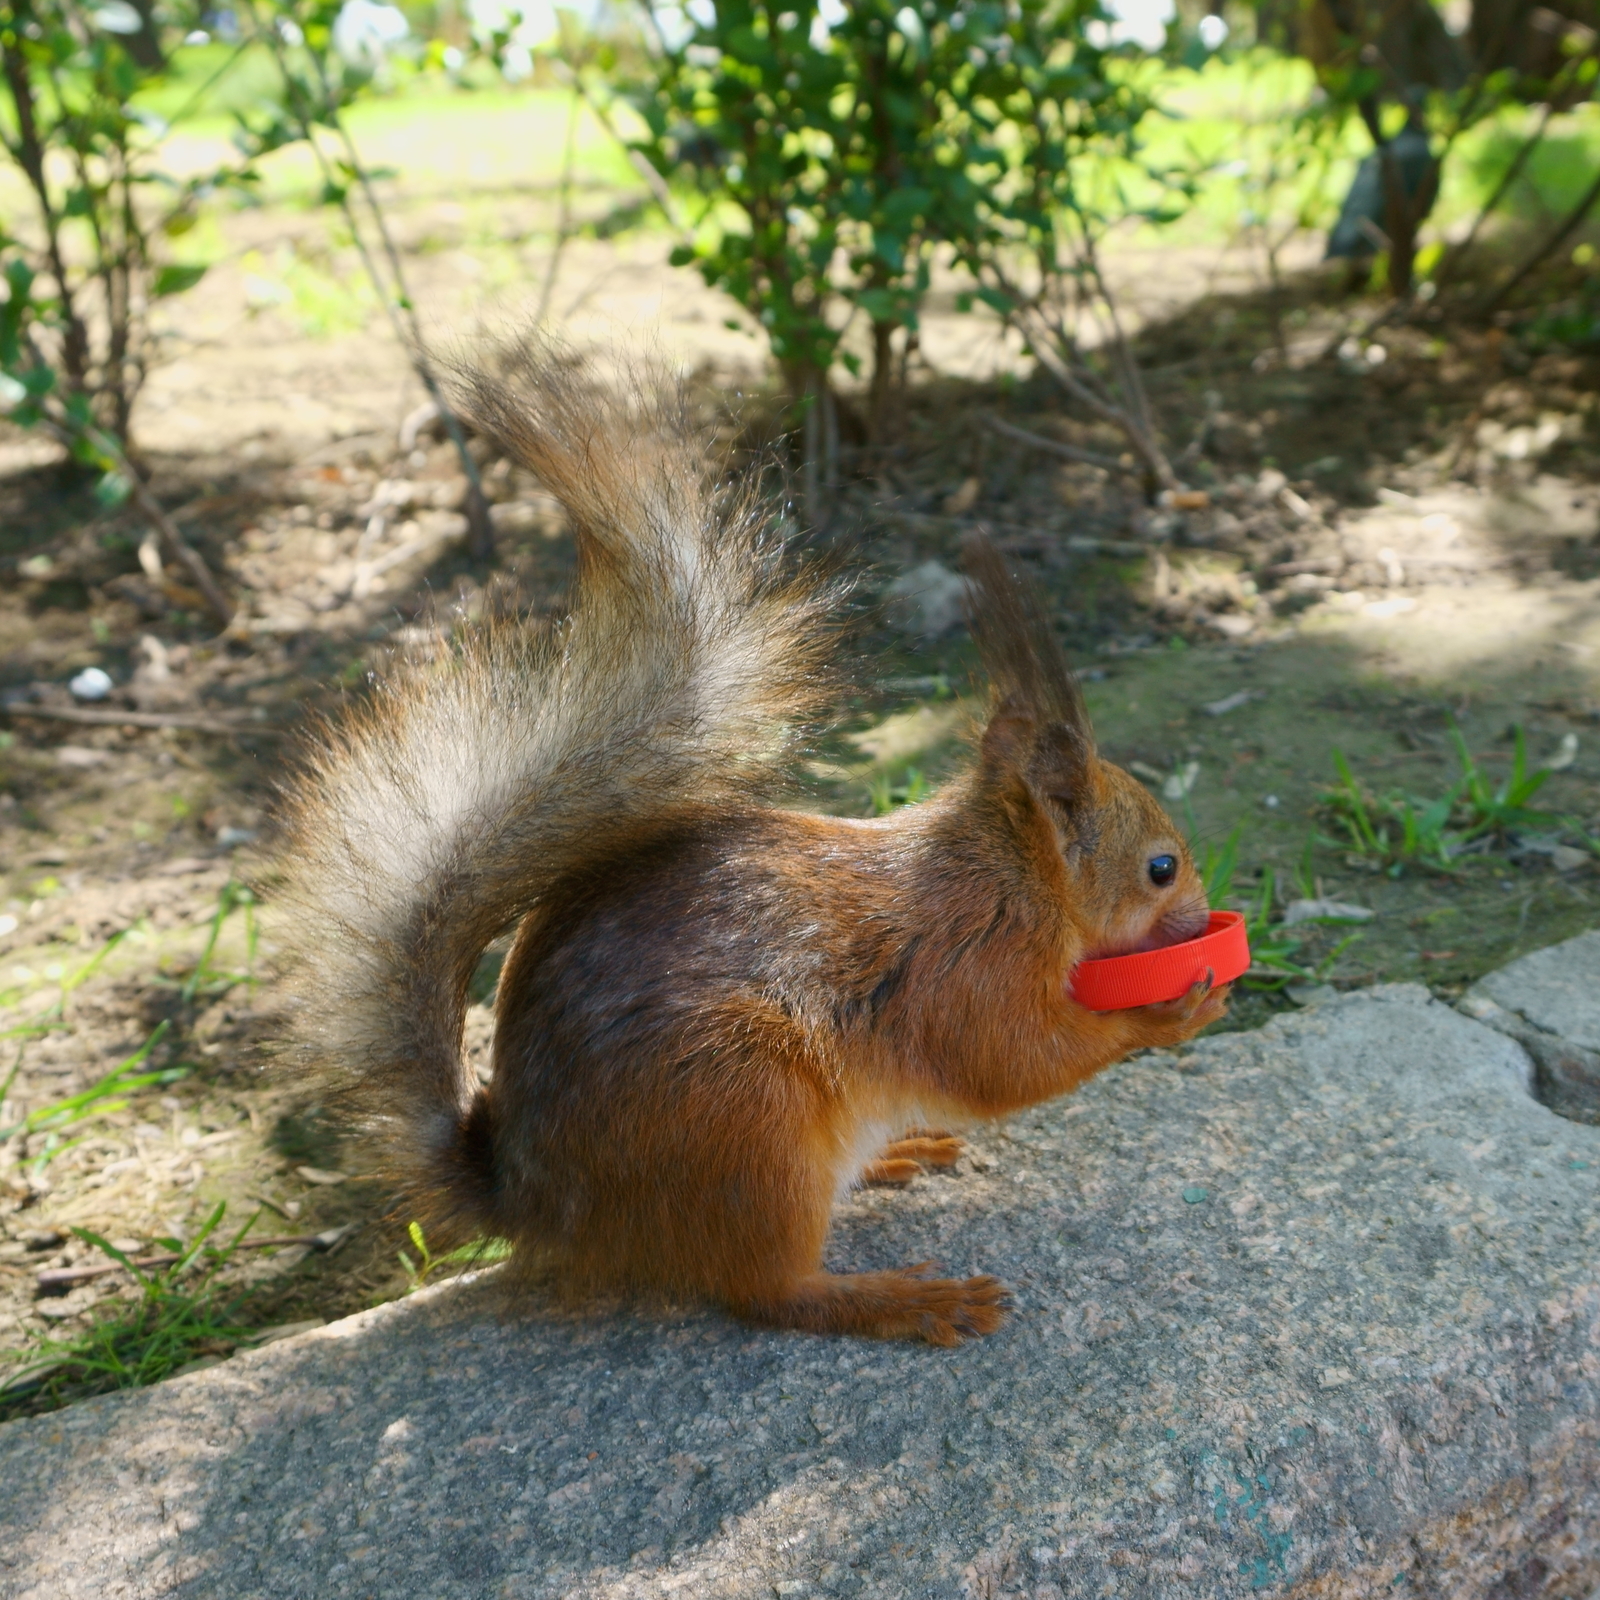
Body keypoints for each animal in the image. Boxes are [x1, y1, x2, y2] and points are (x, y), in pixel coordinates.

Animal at [281, 356, 1228, 1344]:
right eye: (1161, 869)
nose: (1208, 917)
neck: (1009, 878)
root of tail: (543, 1207)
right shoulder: (967, 968)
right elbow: (1010, 1060)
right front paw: (1167, 1016)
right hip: (744, 1115)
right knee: (767, 1291)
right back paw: (901, 1299)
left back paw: (894, 1159)